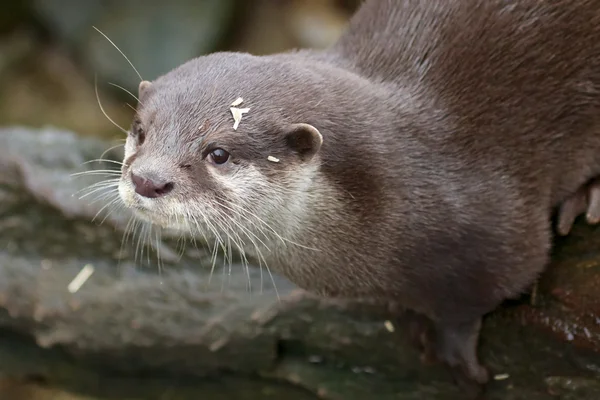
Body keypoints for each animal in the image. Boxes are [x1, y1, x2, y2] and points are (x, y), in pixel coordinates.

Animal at [115, 0, 600, 394]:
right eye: (140, 130)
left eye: (218, 153)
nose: (147, 180)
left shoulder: (501, 231)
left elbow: (477, 298)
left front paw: (455, 354)